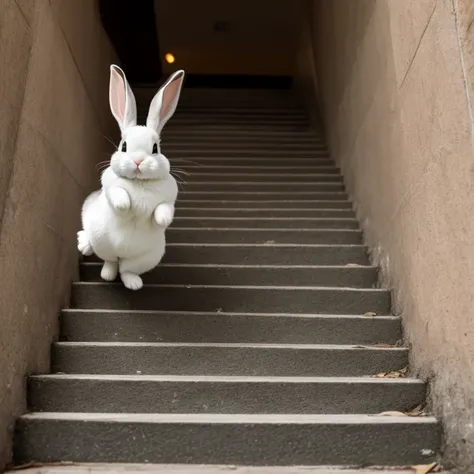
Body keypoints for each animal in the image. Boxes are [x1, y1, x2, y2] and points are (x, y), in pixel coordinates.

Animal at [77, 65, 184, 290]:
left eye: (155, 148)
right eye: (124, 146)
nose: (138, 161)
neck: (139, 182)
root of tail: (120, 254)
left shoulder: (169, 198)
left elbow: (164, 209)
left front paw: (161, 220)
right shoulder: (109, 187)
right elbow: (118, 194)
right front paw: (126, 206)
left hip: (146, 258)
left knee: (126, 269)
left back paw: (133, 283)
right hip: (101, 241)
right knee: (109, 261)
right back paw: (104, 270)